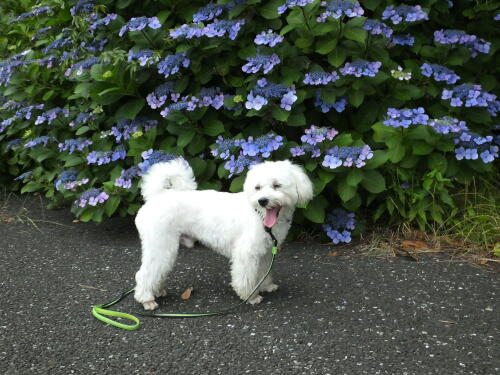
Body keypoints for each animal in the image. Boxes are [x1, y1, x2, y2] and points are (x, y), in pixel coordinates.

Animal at [133, 159, 312, 312]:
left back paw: (157, 291)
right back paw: (147, 299)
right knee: (144, 274)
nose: (262, 201)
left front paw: (266, 286)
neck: (259, 215)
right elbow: (245, 277)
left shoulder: (265, 252)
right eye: (258, 188)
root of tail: (156, 196)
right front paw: (250, 296)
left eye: (277, 185)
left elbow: (263, 272)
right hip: (160, 245)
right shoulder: (246, 254)